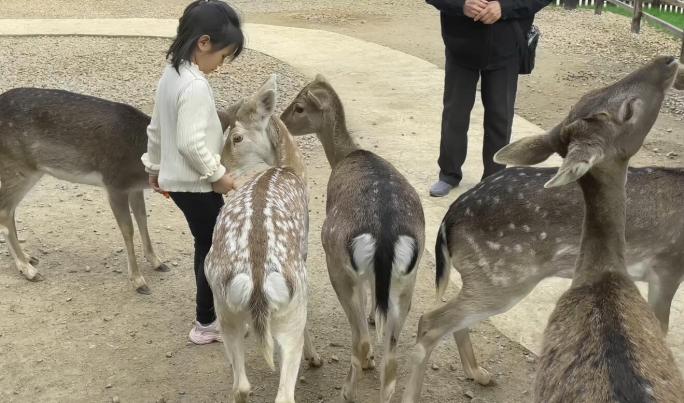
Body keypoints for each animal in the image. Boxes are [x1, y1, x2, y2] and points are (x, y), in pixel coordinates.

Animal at [0, 88, 170, 294]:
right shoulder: (115, 183)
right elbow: (127, 229)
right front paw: (138, 281)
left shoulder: (135, 188)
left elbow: (142, 219)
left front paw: (157, 262)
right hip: (18, 167)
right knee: (5, 212)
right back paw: (29, 271)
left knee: (11, 211)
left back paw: (27, 258)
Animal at [206, 76, 320, 403]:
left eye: (236, 137)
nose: (222, 171)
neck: (289, 167)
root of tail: (256, 278)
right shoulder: (306, 250)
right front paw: (315, 358)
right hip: (291, 308)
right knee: (284, 394)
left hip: (224, 309)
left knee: (241, 385)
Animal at [280, 74, 424, 402]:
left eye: (299, 107)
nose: (280, 120)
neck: (344, 155)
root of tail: (385, 234)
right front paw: (373, 318)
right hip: (409, 278)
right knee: (392, 360)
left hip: (336, 263)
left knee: (359, 341)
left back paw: (347, 389)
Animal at [400, 56, 684, 403]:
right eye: (628, 110)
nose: (668, 60)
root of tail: (447, 220)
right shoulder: (668, 264)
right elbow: (663, 327)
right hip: (501, 278)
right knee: (431, 320)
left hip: (485, 279)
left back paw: (479, 373)